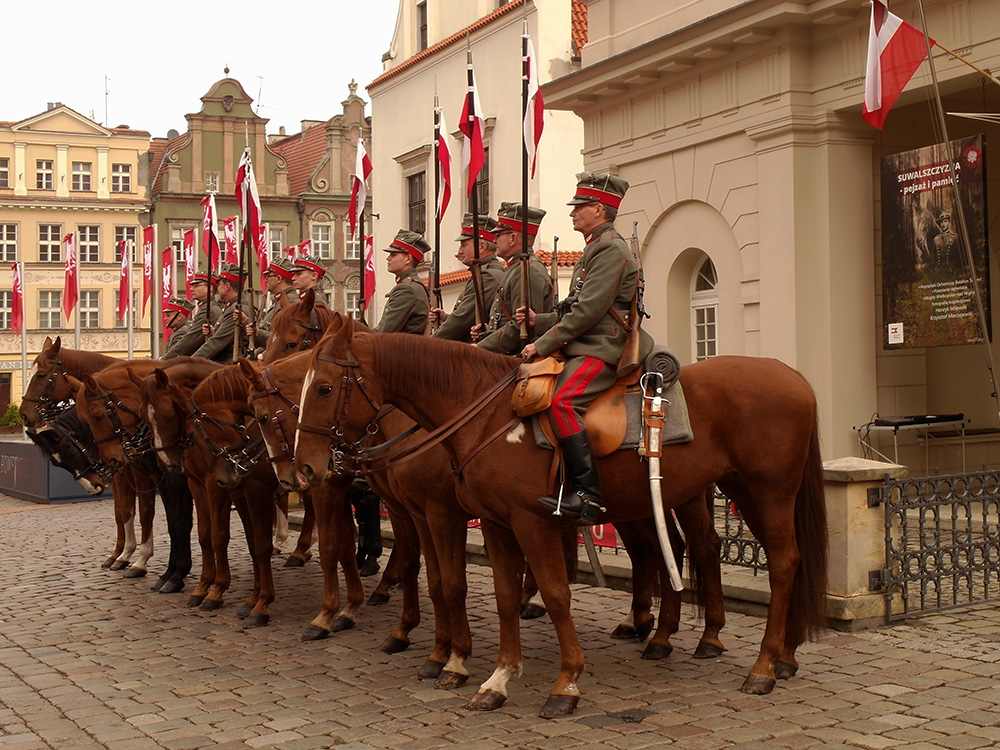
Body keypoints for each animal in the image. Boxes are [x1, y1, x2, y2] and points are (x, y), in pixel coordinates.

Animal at [294, 320, 828, 720]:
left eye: (323, 387)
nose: (305, 468)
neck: (483, 416)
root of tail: (794, 376)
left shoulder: (516, 521)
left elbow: (550, 594)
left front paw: (564, 683)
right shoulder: (492, 523)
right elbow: (501, 596)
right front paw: (497, 678)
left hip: (766, 491)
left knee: (778, 562)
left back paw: (760, 666)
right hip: (737, 490)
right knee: (756, 558)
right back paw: (780, 657)